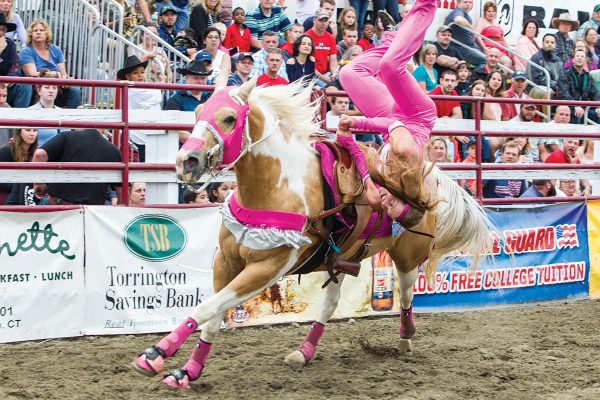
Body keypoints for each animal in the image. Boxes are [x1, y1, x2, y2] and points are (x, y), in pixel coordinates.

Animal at [132, 78, 496, 388]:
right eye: (197, 113)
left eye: (228, 117)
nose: (186, 161)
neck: (276, 186)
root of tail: (431, 181)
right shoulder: (226, 260)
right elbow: (212, 314)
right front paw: (187, 371)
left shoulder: (267, 268)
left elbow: (207, 308)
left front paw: (156, 353)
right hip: (343, 259)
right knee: (330, 305)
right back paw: (304, 351)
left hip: (406, 258)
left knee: (406, 297)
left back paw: (406, 336)